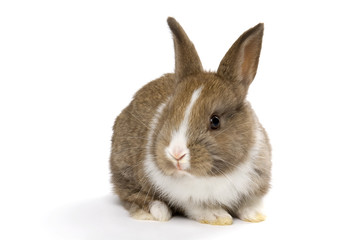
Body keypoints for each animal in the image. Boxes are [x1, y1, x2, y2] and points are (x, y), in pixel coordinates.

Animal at [111, 16, 272, 225]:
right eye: (169, 112)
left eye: (215, 121)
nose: (176, 154)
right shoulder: (186, 199)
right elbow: (198, 207)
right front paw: (219, 217)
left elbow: (250, 203)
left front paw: (256, 216)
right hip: (125, 171)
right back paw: (157, 212)